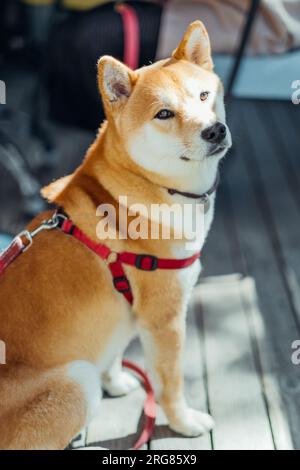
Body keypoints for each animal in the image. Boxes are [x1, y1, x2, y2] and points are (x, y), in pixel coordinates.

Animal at [0, 21, 232, 448]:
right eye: (164, 113)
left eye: (204, 95)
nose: (214, 130)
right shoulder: (165, 318)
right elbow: (171, 383)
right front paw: (184, 421)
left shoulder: (128, 312)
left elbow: (114, 347)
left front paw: (117, 379)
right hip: (76, 382)